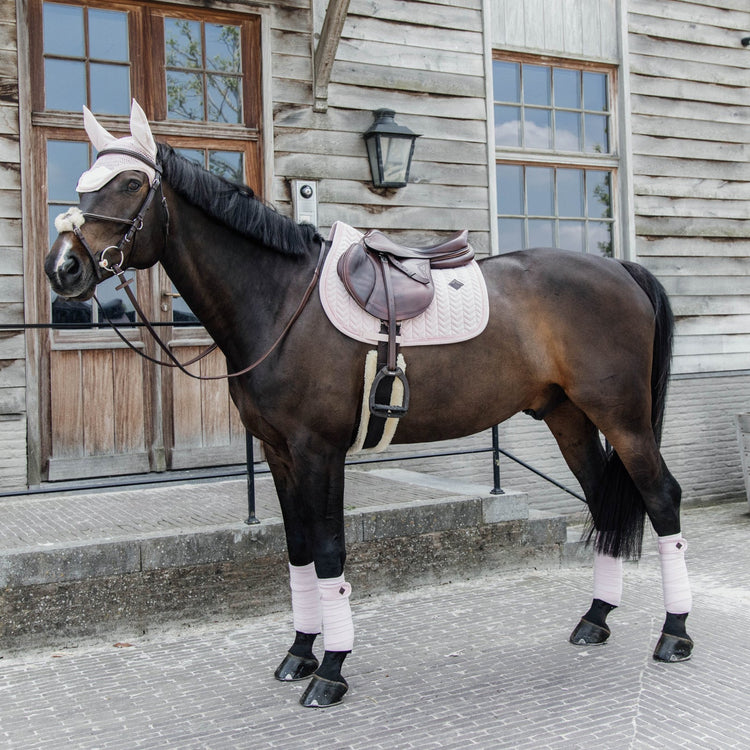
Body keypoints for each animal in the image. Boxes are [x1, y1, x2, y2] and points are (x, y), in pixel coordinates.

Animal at [45, 102, 693, 708]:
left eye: (131, 183)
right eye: (82, 182)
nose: (63, 267)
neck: (280, 302)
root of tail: (621, 269)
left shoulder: (318, 452)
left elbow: (330, 554)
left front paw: (330, 670)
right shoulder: (279, 454)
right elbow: (299, 552)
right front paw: (300, 653)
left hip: (624, 419)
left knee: (662, 498)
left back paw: (675, 633)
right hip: (570, 418)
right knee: (602, 500)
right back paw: (595, 619)